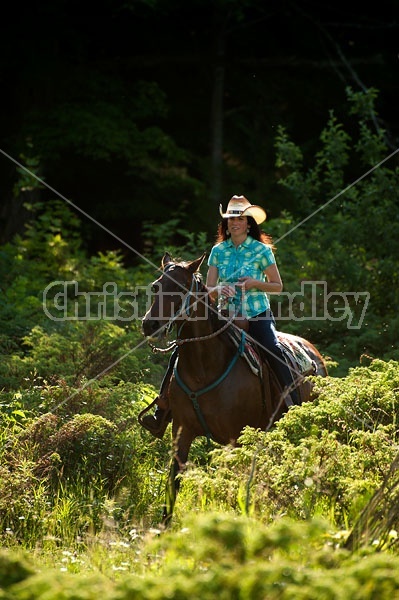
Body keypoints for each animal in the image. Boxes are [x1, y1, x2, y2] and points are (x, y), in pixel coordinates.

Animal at [142, 251, 326, 524]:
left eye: (181, 288)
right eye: (156, 286)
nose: (150, 325)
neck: (203, 368)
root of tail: (314, 353)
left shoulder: (236, 436)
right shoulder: (182, 431)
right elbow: (173, 483)